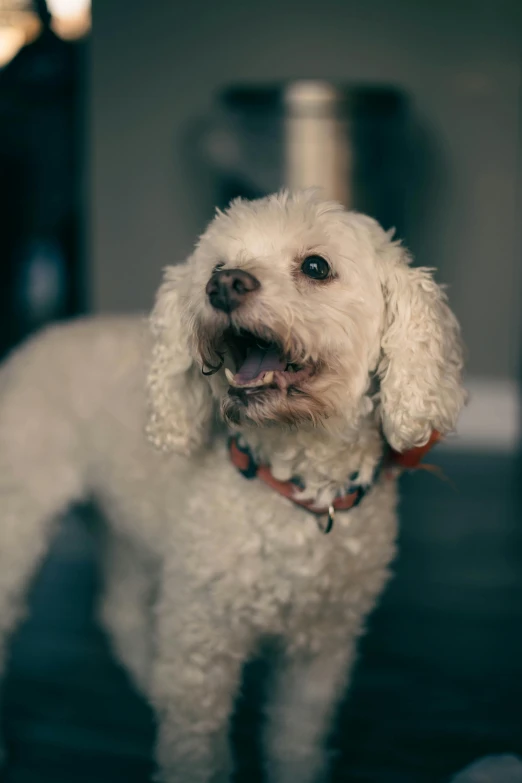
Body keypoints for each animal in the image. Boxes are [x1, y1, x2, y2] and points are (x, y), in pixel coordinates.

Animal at [0, 191, 464, 783]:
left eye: (317, 267)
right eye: (216, 267)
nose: (223, 285)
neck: (294, 485)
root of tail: (38, 338)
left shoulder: (319, 655)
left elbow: (295, 741)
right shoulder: (201, 646)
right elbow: (194, 747)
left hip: (128, 530)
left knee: (119, 608)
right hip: (19, 522)